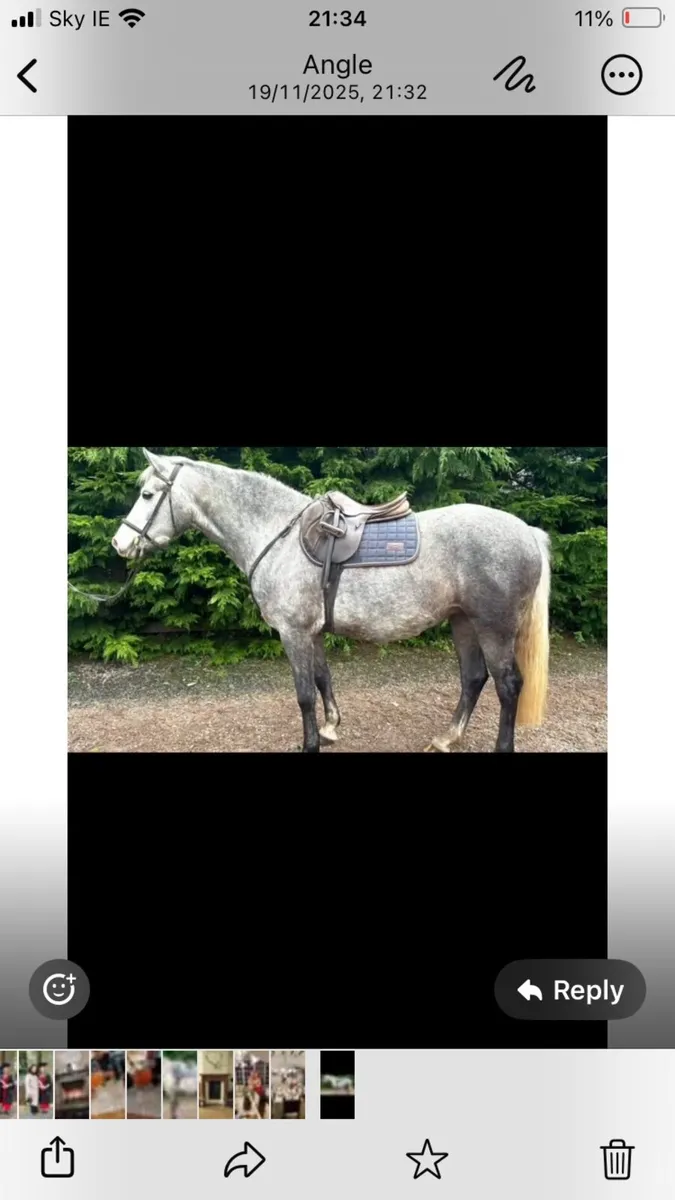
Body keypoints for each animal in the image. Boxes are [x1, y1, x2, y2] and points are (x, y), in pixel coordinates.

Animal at [111, 448, 551, 754]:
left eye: (148, 494)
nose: (120, 543)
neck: (279, 535)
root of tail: (528, 532)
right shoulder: (312, 632)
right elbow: (323, 678)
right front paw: (330, 728)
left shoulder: (293, 633)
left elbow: (304, 693)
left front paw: (310, 743)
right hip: (462, 622)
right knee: (473, 678)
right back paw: (446, 737)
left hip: (494, 628)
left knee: (508, 685)